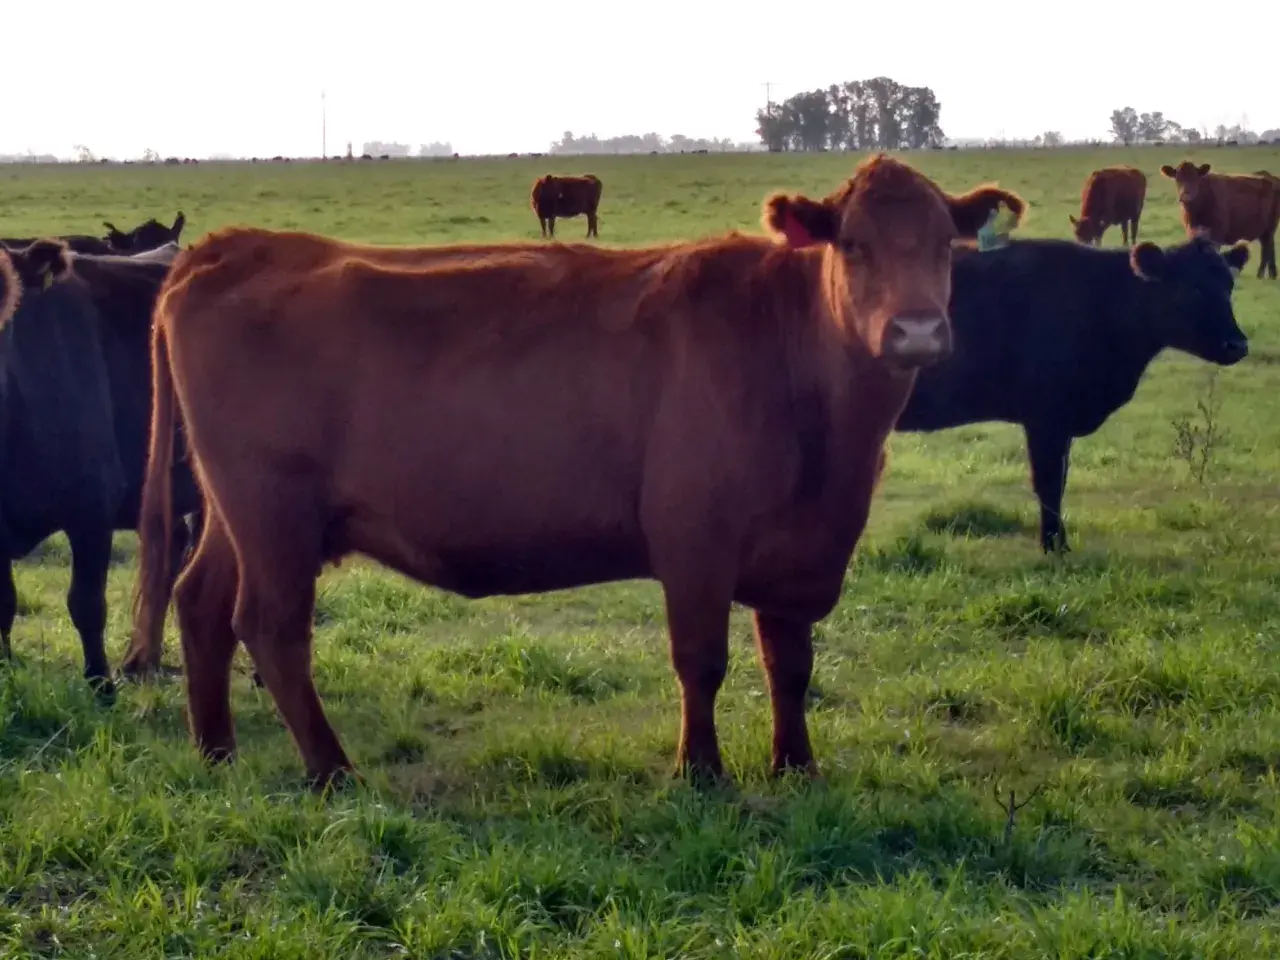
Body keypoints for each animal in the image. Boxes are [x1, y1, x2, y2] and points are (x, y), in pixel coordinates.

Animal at [124, 153, 1026, 789]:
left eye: (945, 247)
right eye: (856, 245)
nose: (916, 331)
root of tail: (231, 247)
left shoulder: (797, 547)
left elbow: (790, 663)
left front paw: (795, 766)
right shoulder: (694, 537)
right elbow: (702, 659)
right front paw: (700, 773)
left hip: (239, 512)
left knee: (200, 604)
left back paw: (217, 752)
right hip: (274, 512)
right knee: (272, 626)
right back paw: (333, 771)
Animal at [896, 235, 1251, 553]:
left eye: (1229, 286)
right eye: (1193, 288)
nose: (1237, 344)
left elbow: (1061, 480)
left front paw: (1059, 541)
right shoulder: (1045, 416)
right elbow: (1048, 481)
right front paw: (1053, 545)